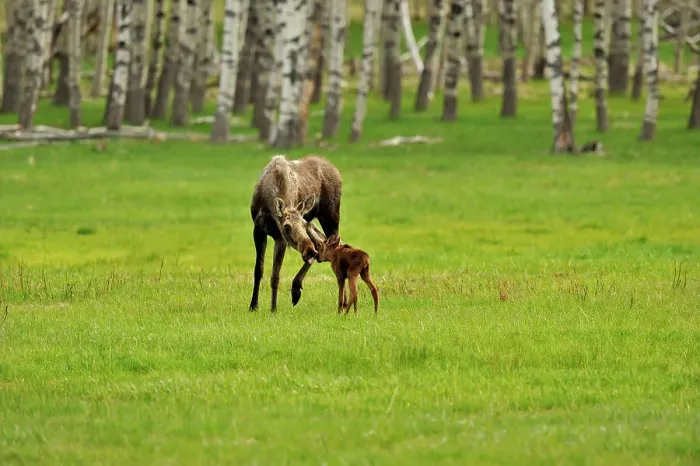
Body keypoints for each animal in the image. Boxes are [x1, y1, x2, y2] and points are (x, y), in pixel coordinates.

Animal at [248, 155, 341, 313]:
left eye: (303, 224)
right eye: (286, 226)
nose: (309, 250)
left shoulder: (280, 238)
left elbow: (275, 275)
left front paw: (273, 309)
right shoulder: (258, 230)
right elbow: (258, 270)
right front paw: (253, 306)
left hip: (331, 216)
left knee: (333, 246)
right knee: (321, 244)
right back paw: (296, 289)